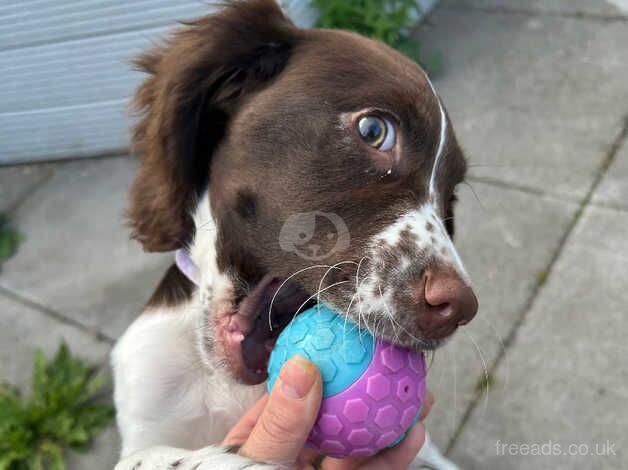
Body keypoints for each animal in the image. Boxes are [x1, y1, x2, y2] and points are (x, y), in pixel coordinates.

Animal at [113, 1, 478, 468]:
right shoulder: (146, 407)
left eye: (451, 199)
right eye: (374, 130)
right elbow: (151, 456)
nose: (459, 308)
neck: (226, 384)